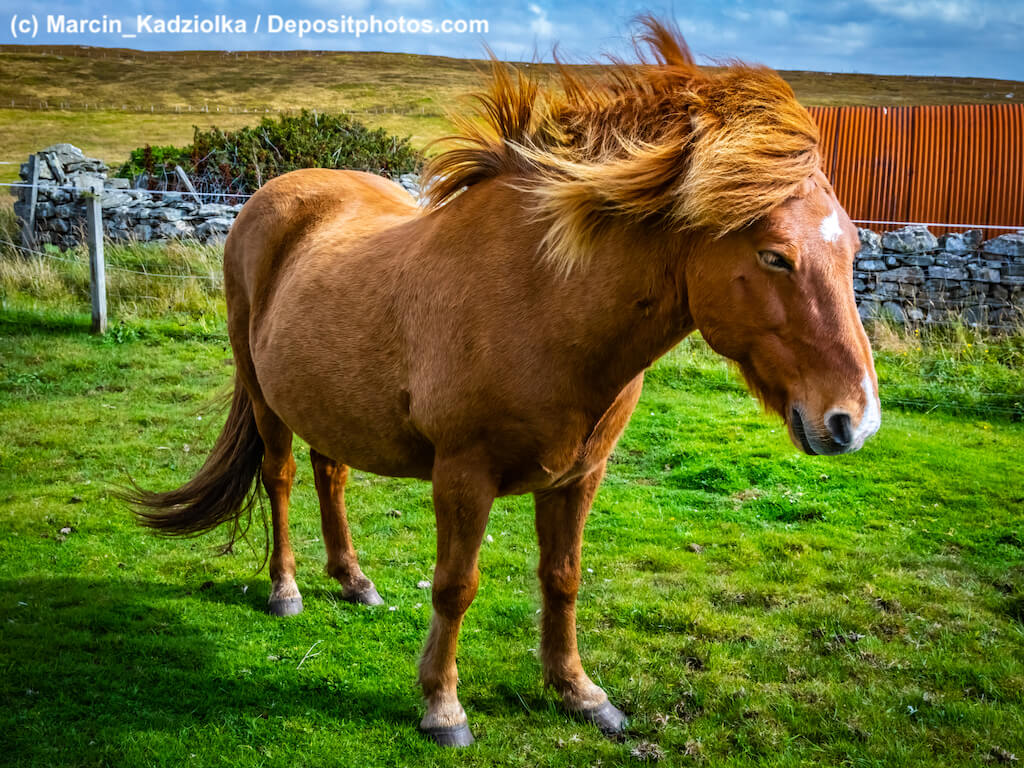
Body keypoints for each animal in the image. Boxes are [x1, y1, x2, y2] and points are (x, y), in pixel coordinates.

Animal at [130, 18, 881, 747]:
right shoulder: (464, 474)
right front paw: (442, 708)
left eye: (852, 247)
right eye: (775, 255)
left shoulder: (579, 476)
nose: (855, 420)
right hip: (265, 398)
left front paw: (579, 693)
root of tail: (271, 197)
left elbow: (563, 578)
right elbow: (455, 586)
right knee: (281, 476)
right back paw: (285, 590)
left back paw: (353, 580)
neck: (546, 302)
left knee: (330, 473)